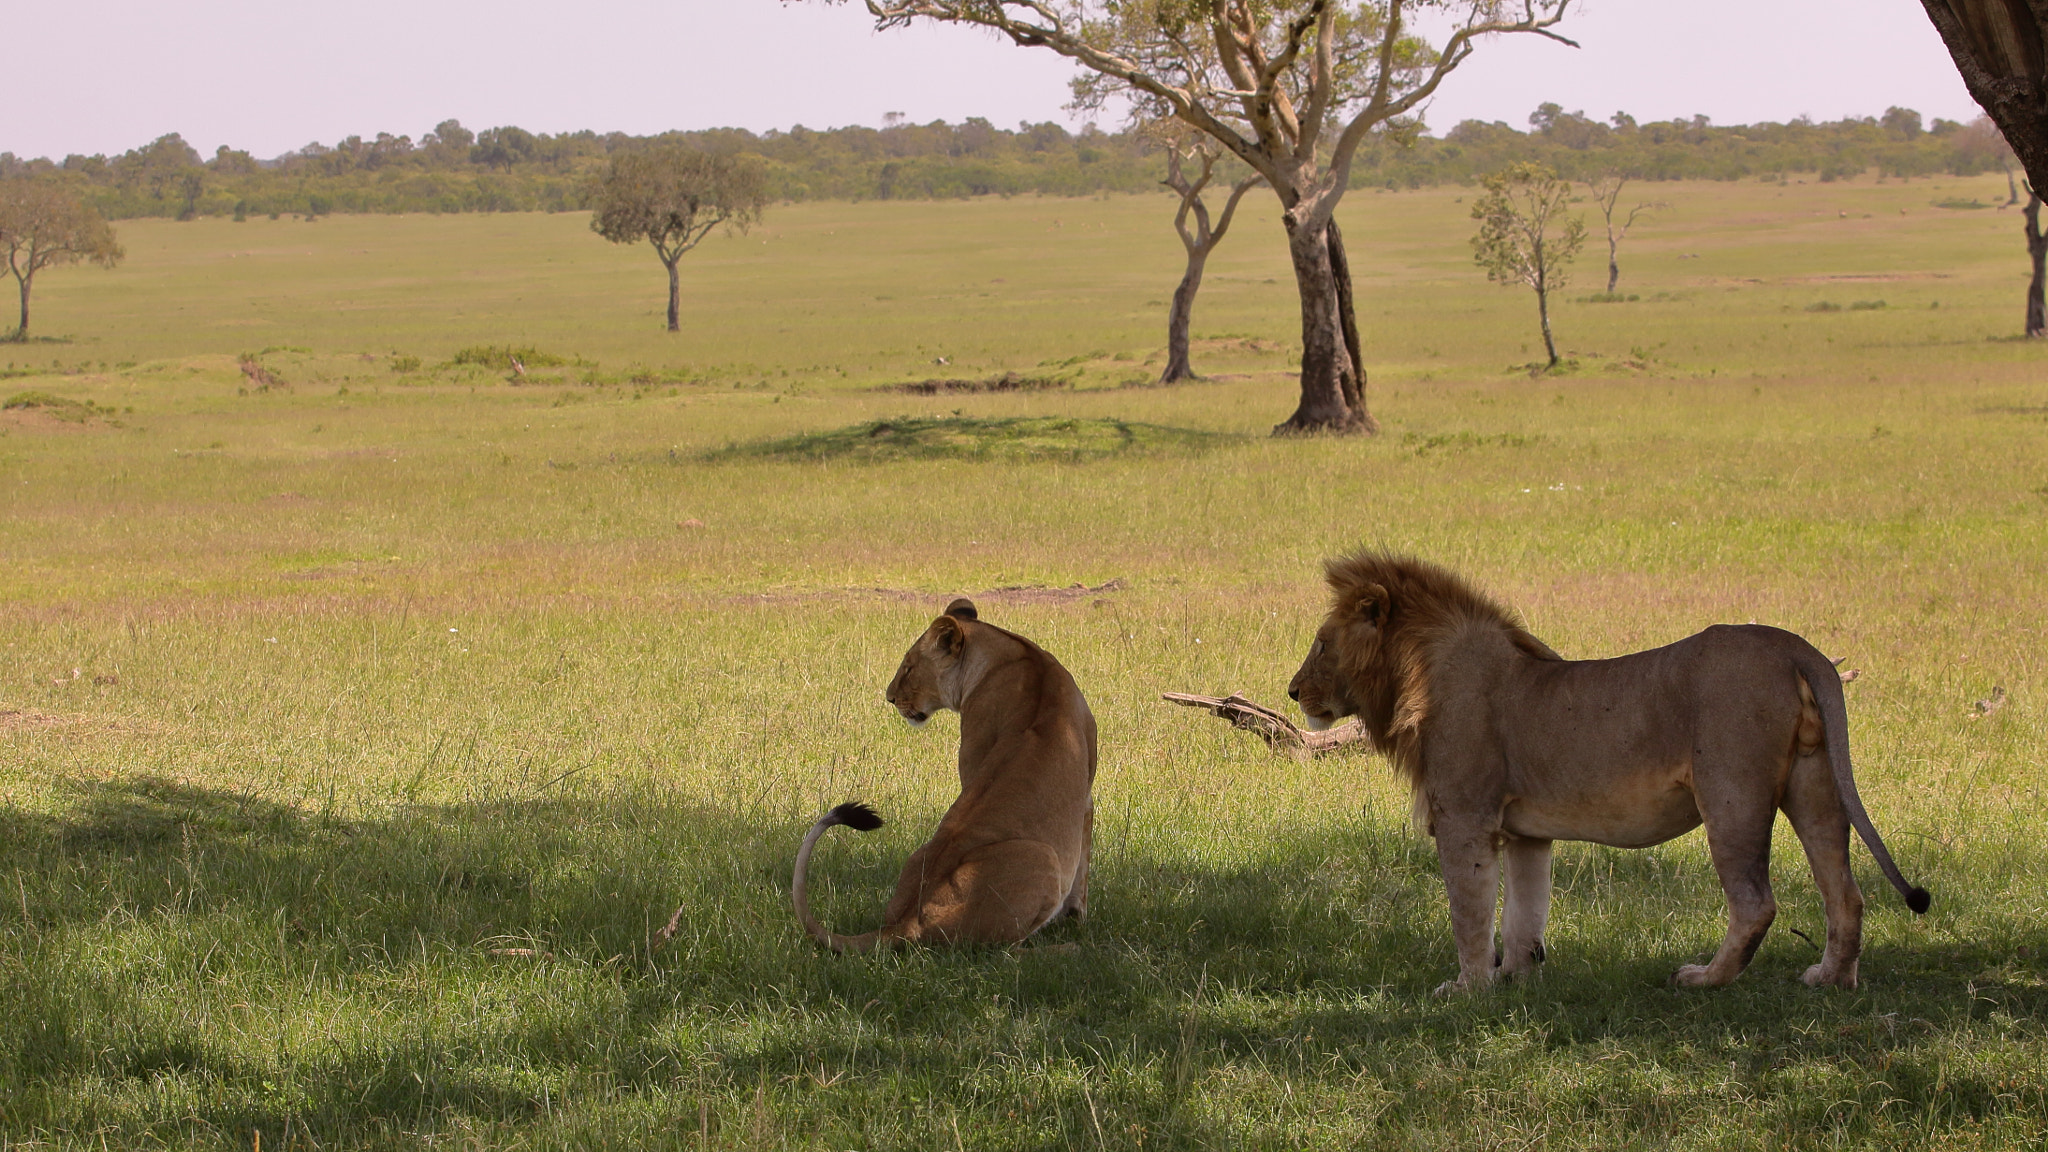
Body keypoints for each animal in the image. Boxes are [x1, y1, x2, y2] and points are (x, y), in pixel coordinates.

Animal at [790, 594, 1097, 947]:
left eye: (909, 667)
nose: (889, 697)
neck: (1015, 652)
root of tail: (906, 920)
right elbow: (1082, 872)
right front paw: (1076, 921)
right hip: (1042, 856)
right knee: (1002, 949)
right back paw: (1066, 948)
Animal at [1286, 549, 1925, 988]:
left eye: (1321, 643)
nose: (1292, 691)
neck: (1414, 673)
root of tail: (1797, 647)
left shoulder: (1465, 817)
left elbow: (1469, 911)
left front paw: (1468, 987)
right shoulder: (1525, 832)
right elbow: (1524, 912)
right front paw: (1518, 979)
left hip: (1731, 794)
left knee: (1755, 902)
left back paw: (1704, 979)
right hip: (1813, 783)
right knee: (1844, 891)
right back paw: (1831, 979)